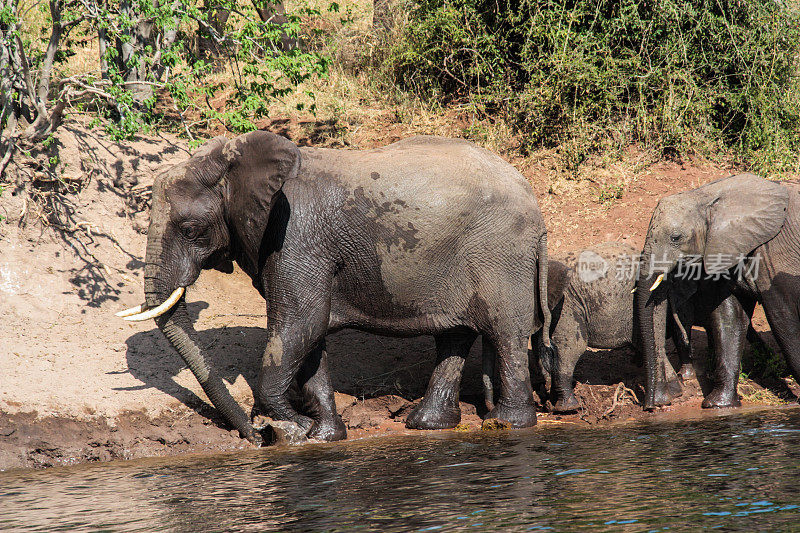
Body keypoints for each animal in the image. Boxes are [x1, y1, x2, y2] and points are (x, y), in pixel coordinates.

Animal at [117, 132, 552, 444]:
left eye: (191, 229)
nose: (257, 435)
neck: (234, 159)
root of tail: (533, 200)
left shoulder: (295, 233)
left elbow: (299, 324)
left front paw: (293, 429)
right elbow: (310, 336)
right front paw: (322, 435)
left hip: (501, 252)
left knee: (506, 334)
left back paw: (509, 425)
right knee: (454, 336)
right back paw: (428, 424)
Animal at [636, 172, 796, 410]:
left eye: (675, 237)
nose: (651, 406)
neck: (707, 195)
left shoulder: (776, 254)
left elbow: (784, 318)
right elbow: (729, 317)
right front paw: (718, 405)